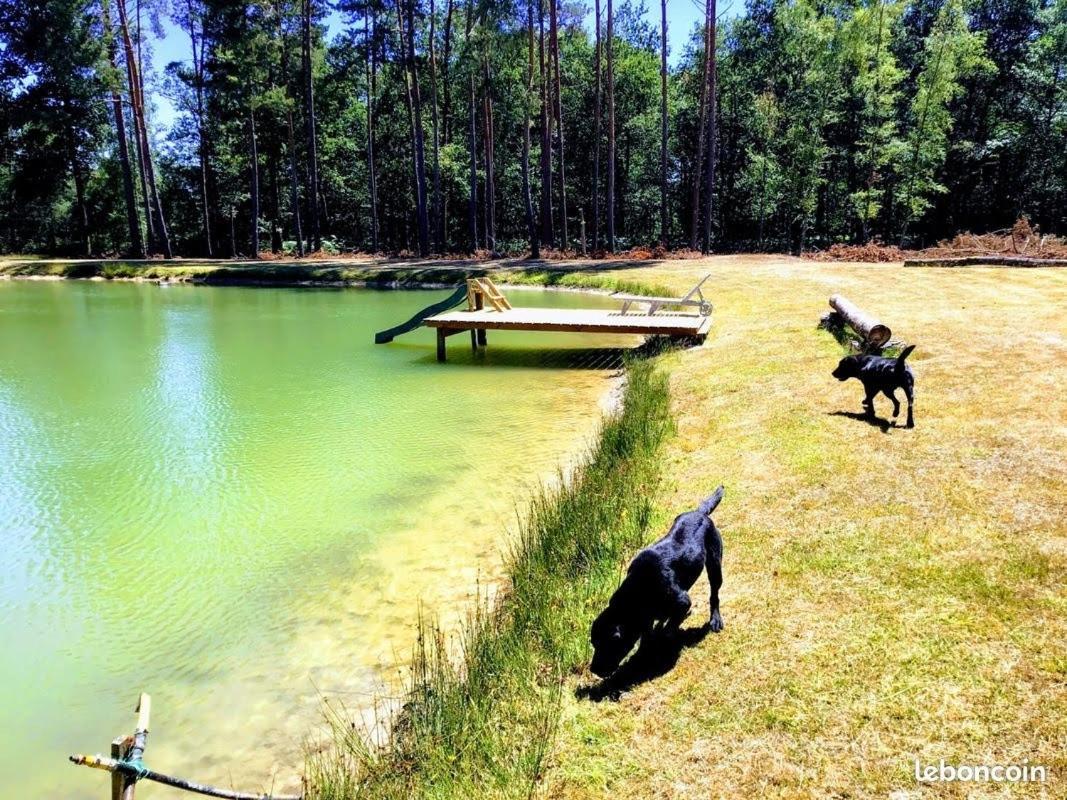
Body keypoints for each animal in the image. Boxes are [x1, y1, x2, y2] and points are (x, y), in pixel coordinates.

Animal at [588, 486, 729, 678]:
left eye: (607, 645)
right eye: (593, 643)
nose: (593, 669)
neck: (637, 592)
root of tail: (700, 513)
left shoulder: (682, 600)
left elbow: (668, 628)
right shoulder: (647, 617)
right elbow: (648, 634)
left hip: (715, 565)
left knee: (714, 595)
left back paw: (715, 619)